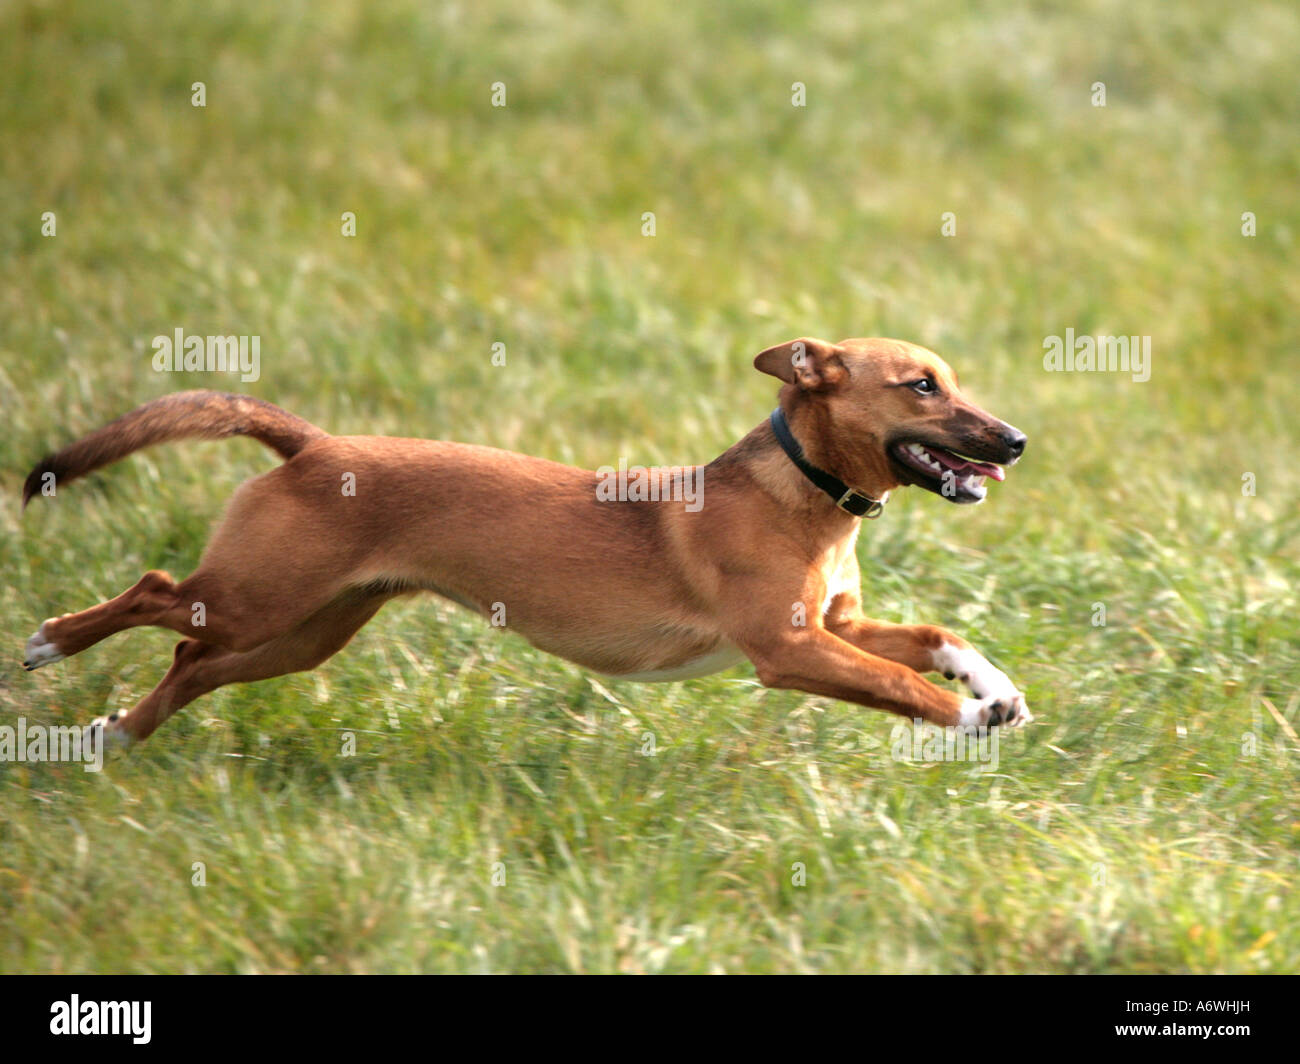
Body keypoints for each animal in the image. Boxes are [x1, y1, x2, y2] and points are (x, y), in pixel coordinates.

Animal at [20, 335, 1029, 744]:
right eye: (922, 387)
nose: (1018, 440)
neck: (803, 493)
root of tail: (313, 445)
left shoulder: (838, 628)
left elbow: (935, 640)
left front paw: (995, 689)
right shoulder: (793, 650)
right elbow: (901, 685)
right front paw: (967, 719)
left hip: (300, 635)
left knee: (189, 664)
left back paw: (114, 737)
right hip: (256, 601)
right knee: (157, 593)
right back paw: (52, 642)